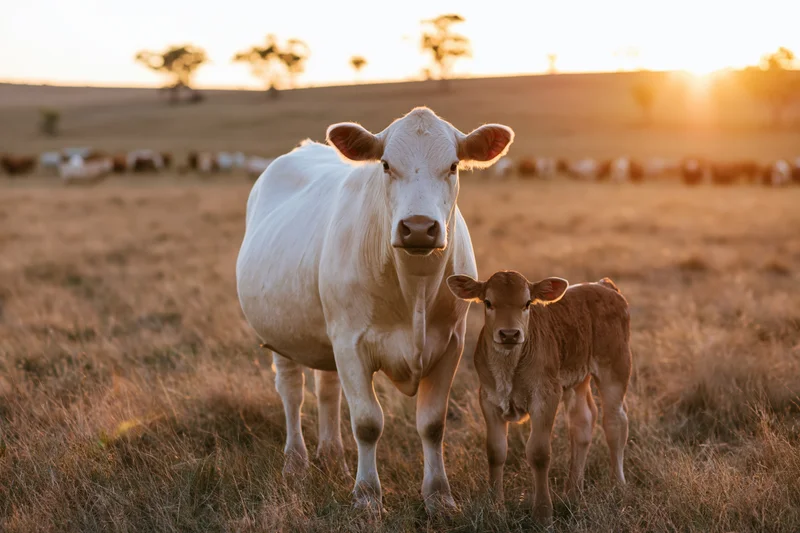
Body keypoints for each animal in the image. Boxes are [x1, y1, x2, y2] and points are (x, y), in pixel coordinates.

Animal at [236, 107, 513, 512]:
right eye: (385, 164)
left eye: (452, 165)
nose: (418, 228)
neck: (415, 289)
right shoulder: (351, 344)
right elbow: (367, 422)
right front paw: (367, 495)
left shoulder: (451, 345)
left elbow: (432, 423)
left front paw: (439, 496)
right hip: (281, 335)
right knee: (291, 392)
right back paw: (296, 463)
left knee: (327, 390)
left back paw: (331, 456)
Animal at [446, 271, 631, 524]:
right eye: (488, 302)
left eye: (527, 303)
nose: (509, 334)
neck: (509, 368)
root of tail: (603, 285)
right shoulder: (488, 399)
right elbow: (495, 451)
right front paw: (495, 506)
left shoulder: (546, 396)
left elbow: (539, 453)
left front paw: (543, 513)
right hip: (577, 378)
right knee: (582, 422)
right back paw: (573, 493)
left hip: (615, 368)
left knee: (614, 422)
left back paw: (617, 487)